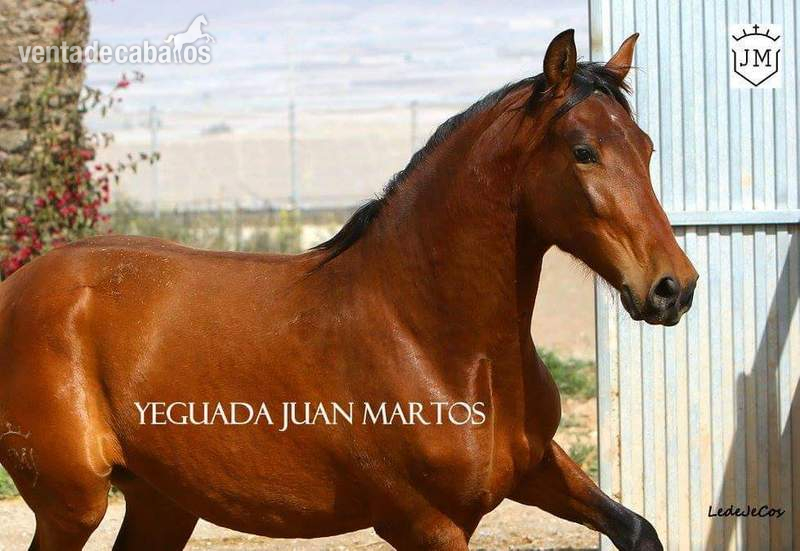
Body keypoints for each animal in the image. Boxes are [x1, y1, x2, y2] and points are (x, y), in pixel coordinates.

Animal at [0, 30, 697, 550]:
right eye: (583, 151)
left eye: (645, 148)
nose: (674, 288)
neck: (434, 342)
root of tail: (19, 286)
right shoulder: (425, 524)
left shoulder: (536, 468)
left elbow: (639, 529)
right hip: (73, 504)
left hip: (162, 503)